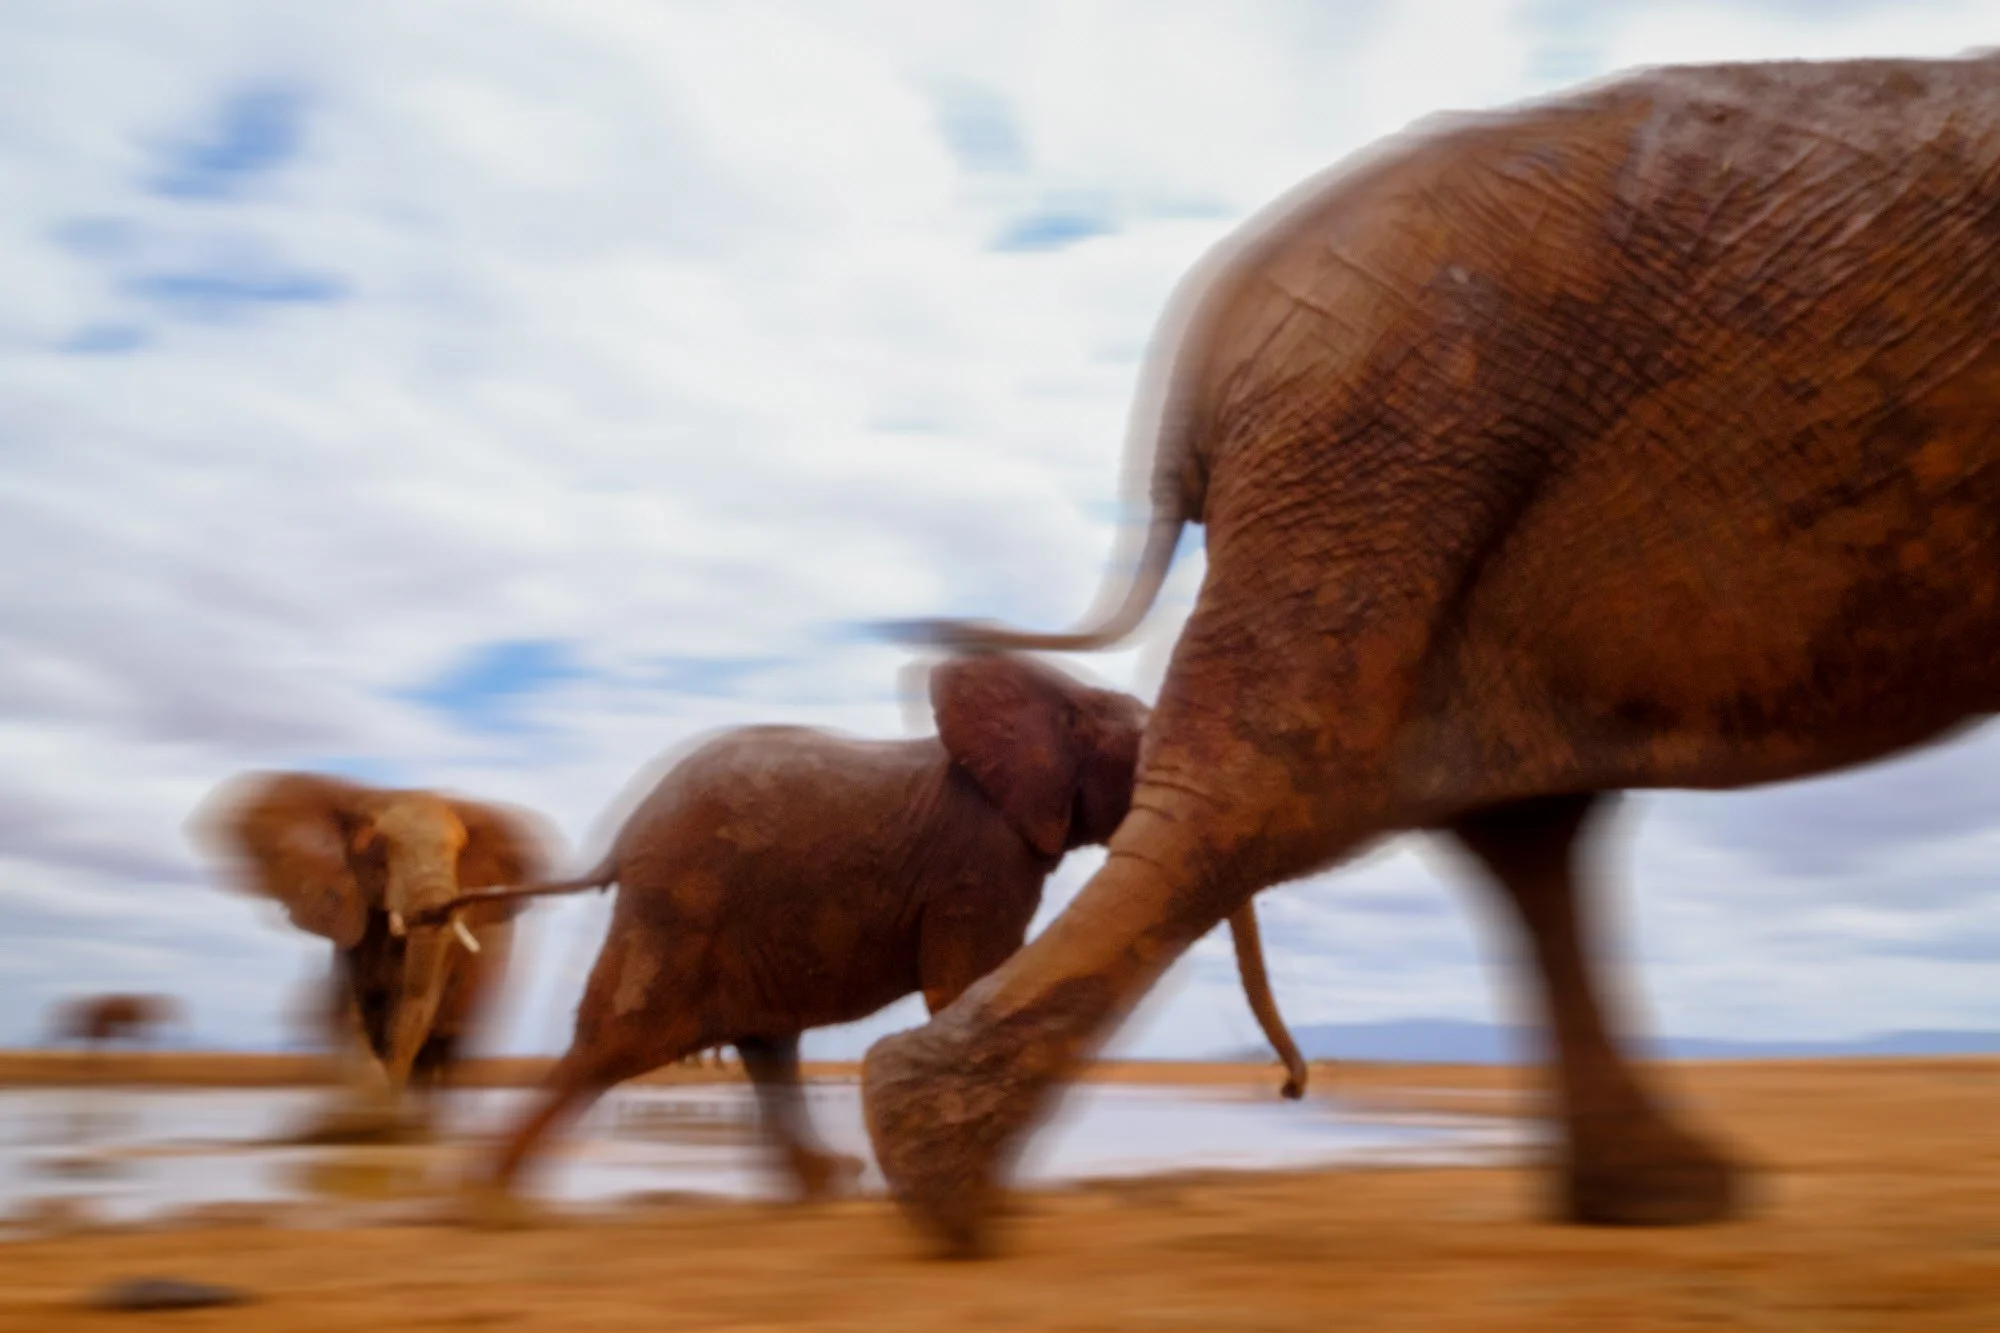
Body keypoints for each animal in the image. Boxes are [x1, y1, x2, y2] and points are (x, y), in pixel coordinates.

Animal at [190, 772, 553, 1136]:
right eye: (378, 850)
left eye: (460, 854)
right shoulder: (350, 913)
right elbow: (350, 1004)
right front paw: (356, 1117)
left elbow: (413, 1010)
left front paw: (379, 1118)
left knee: (448, 1046)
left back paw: (426, 1126)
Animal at [425, 653, 1307, 1206]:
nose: (1292, 1089)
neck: (1058, 699)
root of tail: (622, 837)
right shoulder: (979, 855)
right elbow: (961, 984)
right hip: (684, 901)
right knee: (621, 1041)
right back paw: (485, 1199)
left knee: (765, 1045)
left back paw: (824, 1187)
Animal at [859, 52, 2000, 1255]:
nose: (1291, 1093)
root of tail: (1199, 362)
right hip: (1384, 444)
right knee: (1274, 780)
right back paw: (942, 1183)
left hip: (1413, 470)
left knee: (1520, 823)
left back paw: (1658, 1201)